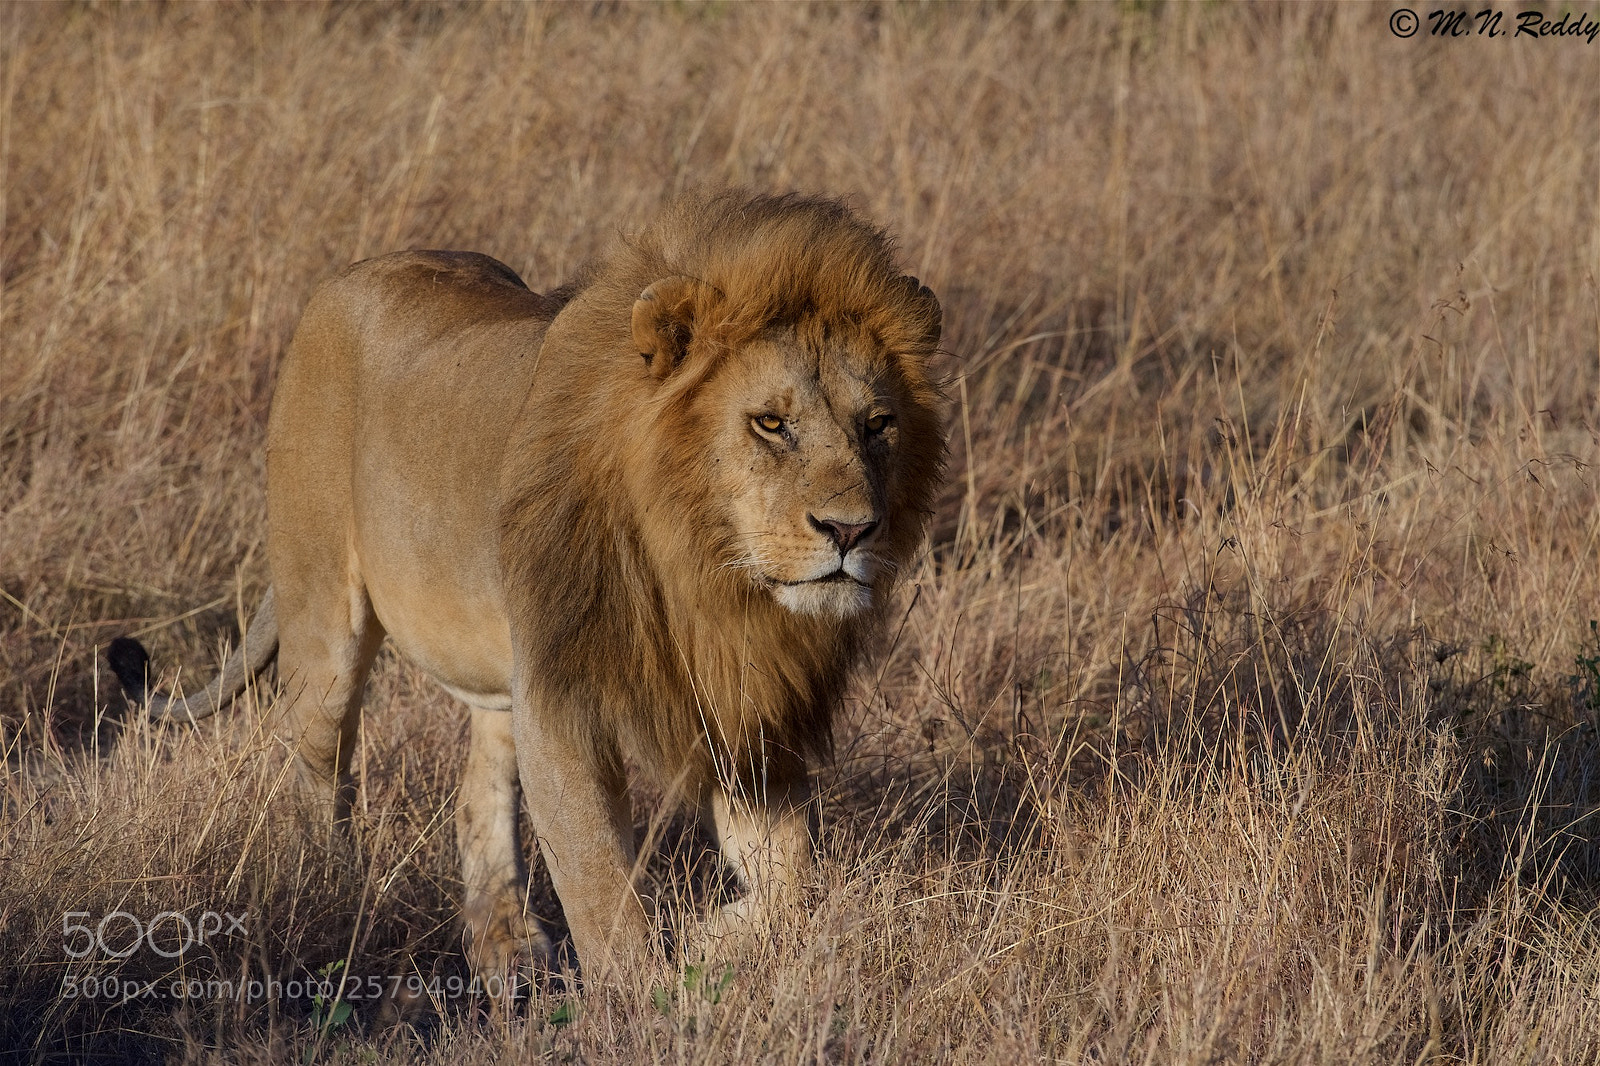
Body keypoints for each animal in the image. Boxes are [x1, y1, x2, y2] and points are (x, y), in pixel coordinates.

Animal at [108, 191, 946, 982]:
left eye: (877, 424)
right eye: (771, 423)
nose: (851, 531)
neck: (703, 574)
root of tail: (349, 275)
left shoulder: (743, 710)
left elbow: (792, 886)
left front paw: (712, 941)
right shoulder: (564, 696)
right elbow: (604, 894)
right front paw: (647, 1000)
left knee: (476, 789)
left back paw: (507, 949)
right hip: (322, 619)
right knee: (320, 770)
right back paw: (334, 898)